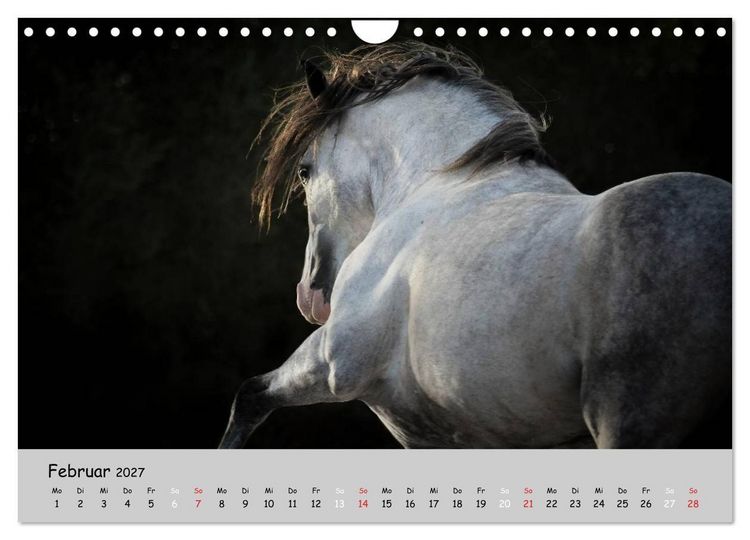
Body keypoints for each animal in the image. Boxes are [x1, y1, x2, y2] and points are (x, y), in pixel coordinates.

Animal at [219, 43, 731, 449]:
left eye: (306, 171)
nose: (311, 296)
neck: (439, 184)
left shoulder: (334, 361)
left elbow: (250, 396)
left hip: (628, 421)